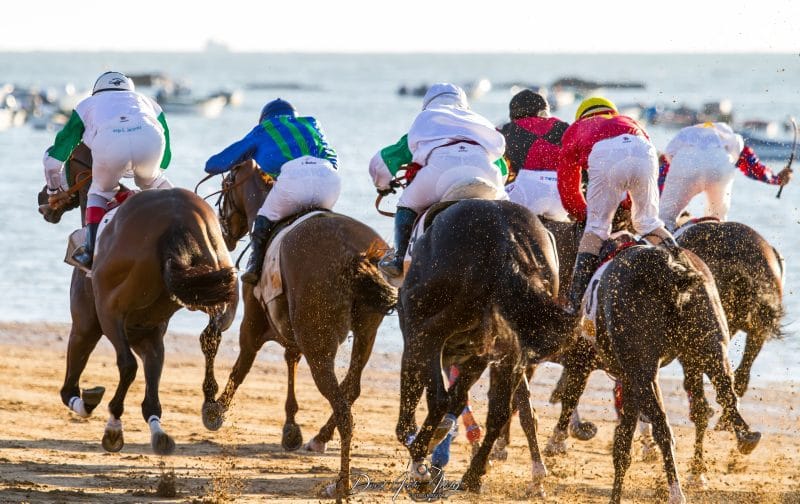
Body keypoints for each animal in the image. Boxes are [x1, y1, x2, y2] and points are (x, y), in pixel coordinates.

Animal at [200, 159, 397, 499]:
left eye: (225, 188)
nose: (224, 233)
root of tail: (354, 256)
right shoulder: (292, 326)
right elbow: (290, 358)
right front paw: (291, 427)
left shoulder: (254, 321)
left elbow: (242, 365)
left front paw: (216, 410)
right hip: (365, 331)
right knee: (351, 388)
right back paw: (325, 450)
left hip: (319, 345)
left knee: (344, 410)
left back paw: (342, 484)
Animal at [395, 198, 578, 492]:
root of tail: (507, 240)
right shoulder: (478, 352)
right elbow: (461, 400)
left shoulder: (415, 333)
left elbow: (419, 393)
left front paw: (421, 450)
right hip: (510, 351)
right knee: (499, 410)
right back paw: (473, 473)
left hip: (430, 331)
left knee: (439, 398)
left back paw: (421, 456)